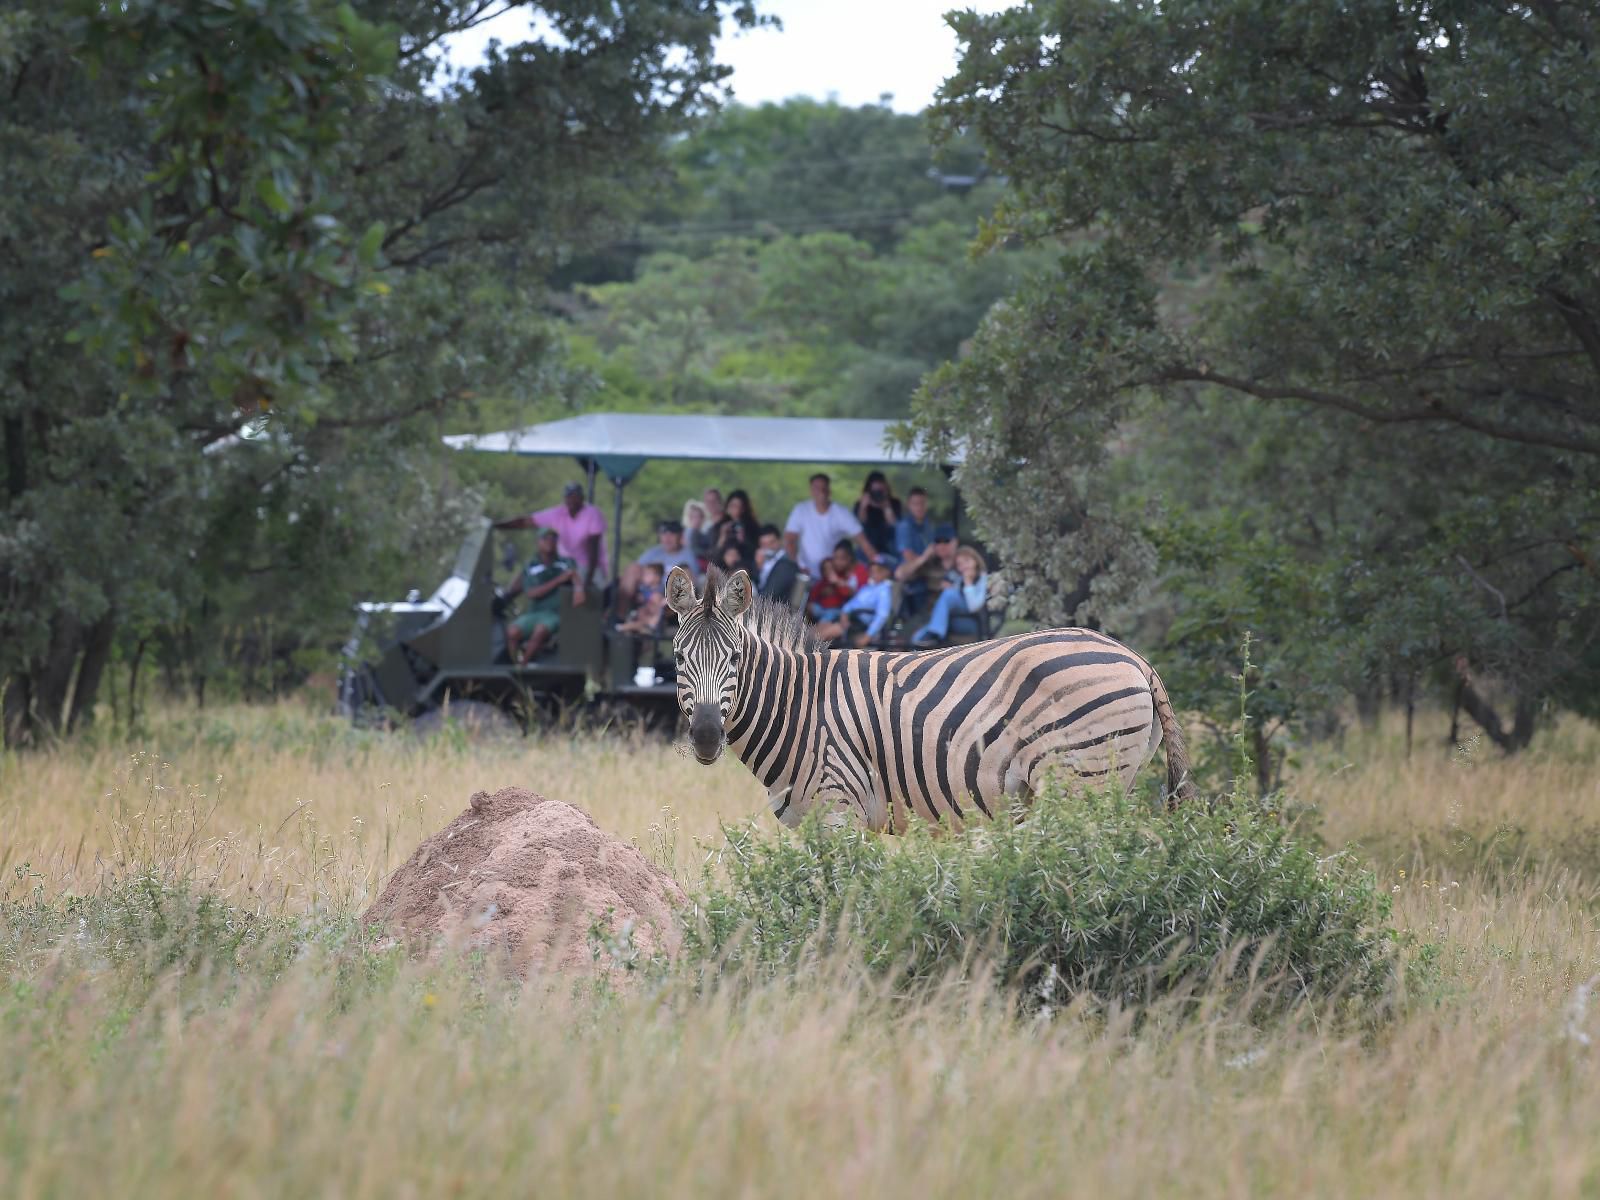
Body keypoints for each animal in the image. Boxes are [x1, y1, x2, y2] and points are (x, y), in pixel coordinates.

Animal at [665, 566, 1203, 832]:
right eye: (677, 657)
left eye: (735, 657)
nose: (707, 736)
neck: (799, 708)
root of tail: (1134, 657)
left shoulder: (839, 809)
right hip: (1113, 778)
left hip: (1079, 780)